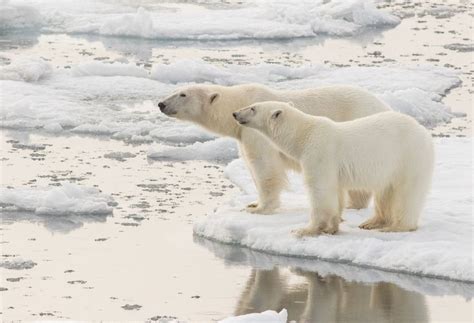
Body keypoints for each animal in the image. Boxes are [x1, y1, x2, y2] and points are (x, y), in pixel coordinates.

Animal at [158, 85, 388, 214]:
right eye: (176, 91)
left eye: (183, 94)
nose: (161, 104)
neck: (239, 102)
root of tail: (385, 107)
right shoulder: (242, 134)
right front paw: (253, 203)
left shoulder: (256, 130)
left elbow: (264, 166)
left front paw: (261, 208)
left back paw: (352, 204)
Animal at [233, 102, 434, 237]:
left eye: (253, 108)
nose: (235, 113)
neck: (304, 135)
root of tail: (423, 131)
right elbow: (335, 192)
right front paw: (332, 227)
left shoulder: (319, 154)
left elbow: (320, 191)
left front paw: (305, 229)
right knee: (385, 193)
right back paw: (371, 222)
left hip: (408, 158)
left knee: (405, 194)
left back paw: (396, 227)